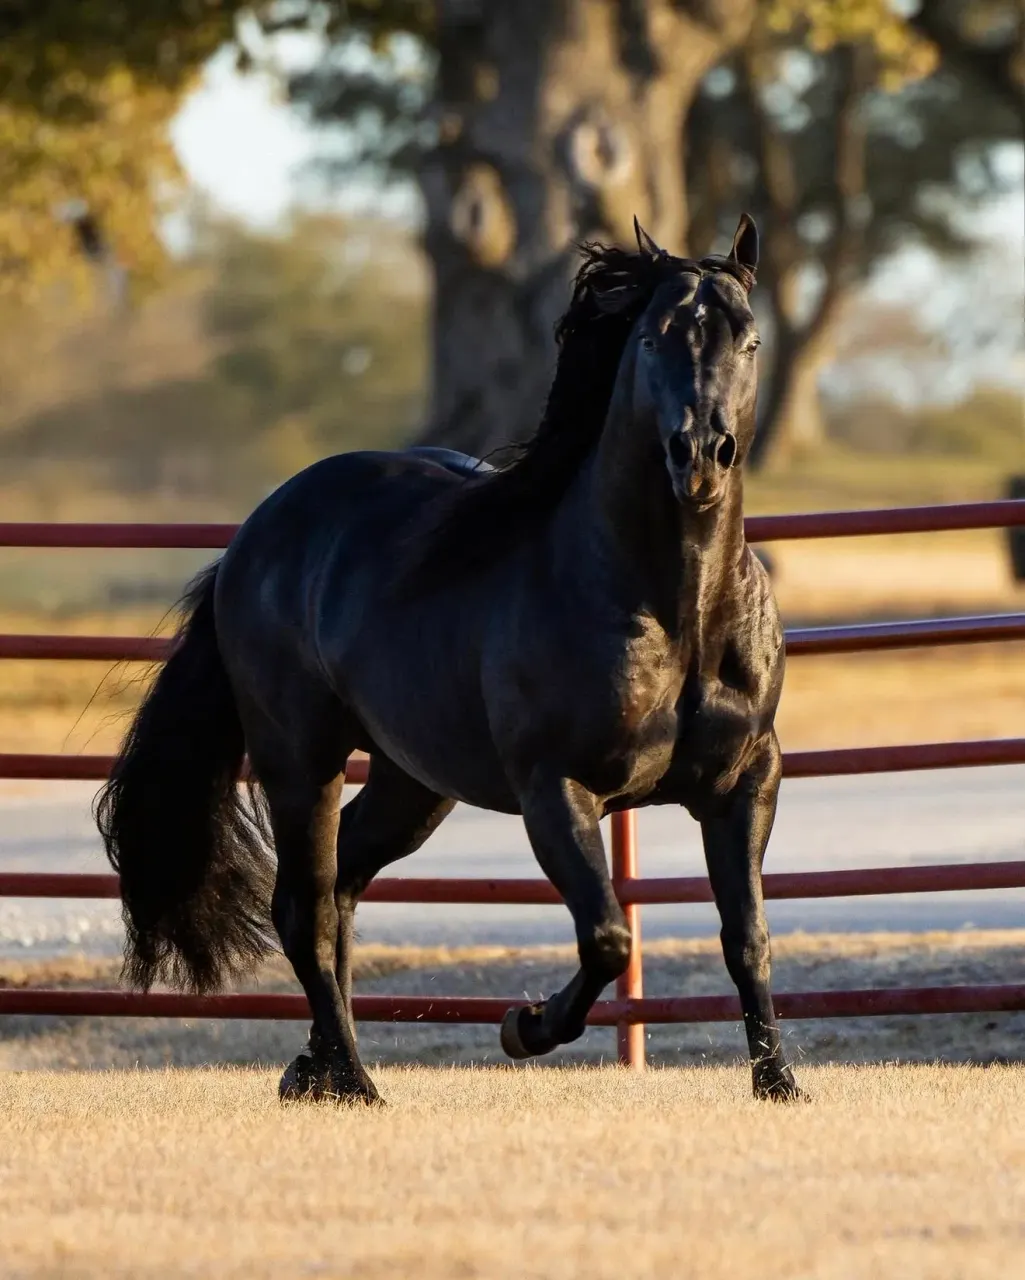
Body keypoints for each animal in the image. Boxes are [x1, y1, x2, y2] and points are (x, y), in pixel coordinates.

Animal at [97, 213, 801, 1105]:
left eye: (748, 340)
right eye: (651, 338)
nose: (699, 455)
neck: (674, 614)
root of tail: (255, 538)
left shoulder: (745, 783)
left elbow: (747, 936)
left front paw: (779, 1084)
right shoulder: (555, 789)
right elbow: (607, 935)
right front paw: (523, 1027)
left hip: (412, 782)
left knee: (342, 885)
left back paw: (316, 1068)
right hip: (299, 761)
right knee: (305, 908)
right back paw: (352, 1080)